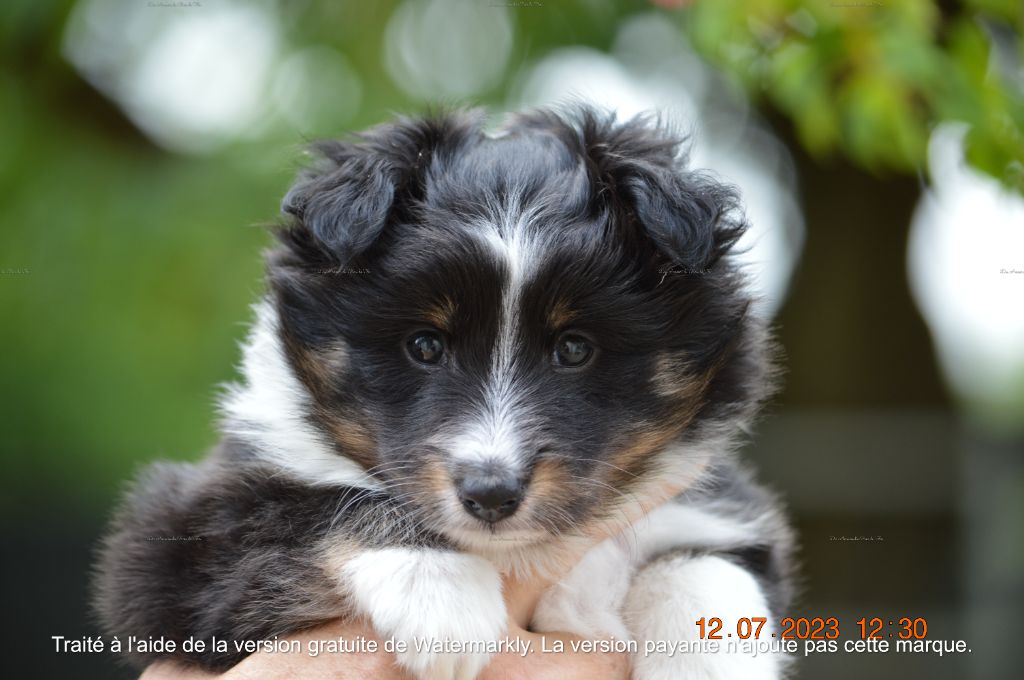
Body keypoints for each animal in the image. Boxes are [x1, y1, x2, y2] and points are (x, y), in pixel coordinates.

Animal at [92, 106, 794, 680]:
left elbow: (701, 562)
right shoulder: (168, 547)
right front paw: (443, 599)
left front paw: (708, 658)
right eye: (425, 345)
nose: (491, 495)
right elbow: (317, 504)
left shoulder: (712, 507)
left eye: (575, 348)